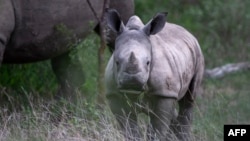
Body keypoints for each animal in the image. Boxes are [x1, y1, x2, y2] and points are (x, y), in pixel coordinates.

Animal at [104, 9, 204, 141]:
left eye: (148, 62)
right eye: (117, 62)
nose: (132, 81)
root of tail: (187, 32)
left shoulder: (163, 94)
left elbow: (157, 128)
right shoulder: (114, 95)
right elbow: (129, 128)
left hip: (197, 53)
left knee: (189, 100)